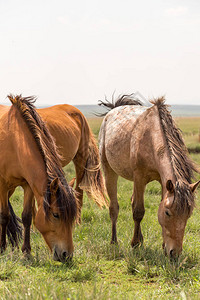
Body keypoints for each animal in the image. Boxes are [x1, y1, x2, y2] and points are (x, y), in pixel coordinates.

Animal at [0, 95, 76, 262]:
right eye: (56, 215)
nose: (67, 255)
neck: (14, 140)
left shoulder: (28, 185)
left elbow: (27, 217)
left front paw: (26, 251)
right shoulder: (2, 185)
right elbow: (4, 216)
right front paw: (2, 248)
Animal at [99, 94, 200, 258]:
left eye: (189, 214)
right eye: (167, 213)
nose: (174, 253)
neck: (151, 135)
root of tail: (113, 110)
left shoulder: (162, 181)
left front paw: (161, 245)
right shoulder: (139, 177)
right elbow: (138, 211)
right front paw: (134, 244)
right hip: (109, 170)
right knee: (114, 207)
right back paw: (114, 242)